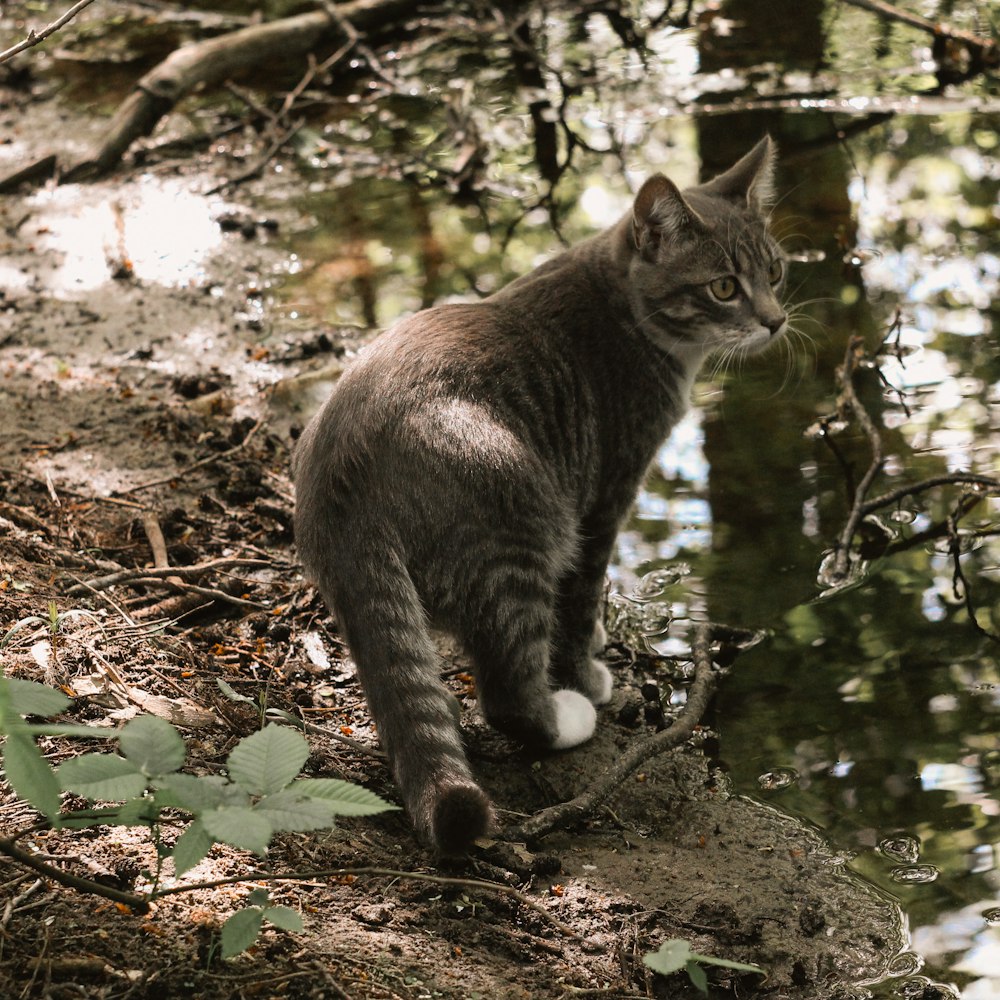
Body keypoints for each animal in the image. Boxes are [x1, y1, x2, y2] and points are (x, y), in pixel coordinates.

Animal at [292, 137, 784, 856]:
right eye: (724, 287)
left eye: (775, 272)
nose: (776, 322)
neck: (622, 303)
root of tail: (340, 477)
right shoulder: (607, 494)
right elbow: (581, 603)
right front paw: (588, 671)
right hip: (525, 524)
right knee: (507, 689)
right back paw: (562, 715)